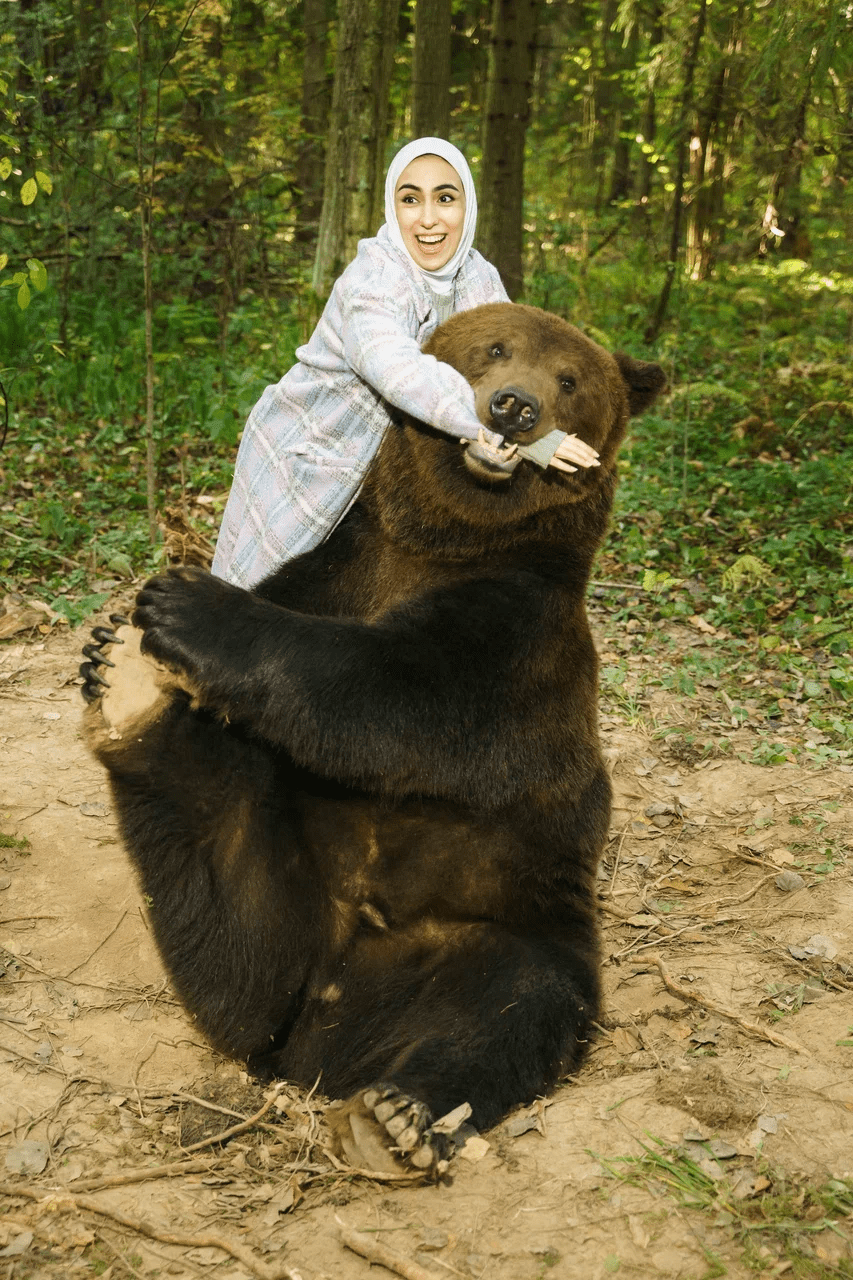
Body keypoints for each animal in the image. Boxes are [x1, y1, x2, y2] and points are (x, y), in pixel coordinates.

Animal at [80, 302, 666, 1176]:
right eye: (494, 347)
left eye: (571, 380)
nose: (514, 406)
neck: (437, 543)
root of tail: (319, 1030)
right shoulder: (335, 568)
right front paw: (152, 622)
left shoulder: (518, 641)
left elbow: (395, 693)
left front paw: (193, 605)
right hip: (274, 894)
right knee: (218, 865)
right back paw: (122, 683)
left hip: (506, 919)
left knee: (512, 1001)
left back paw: (398, 1115)